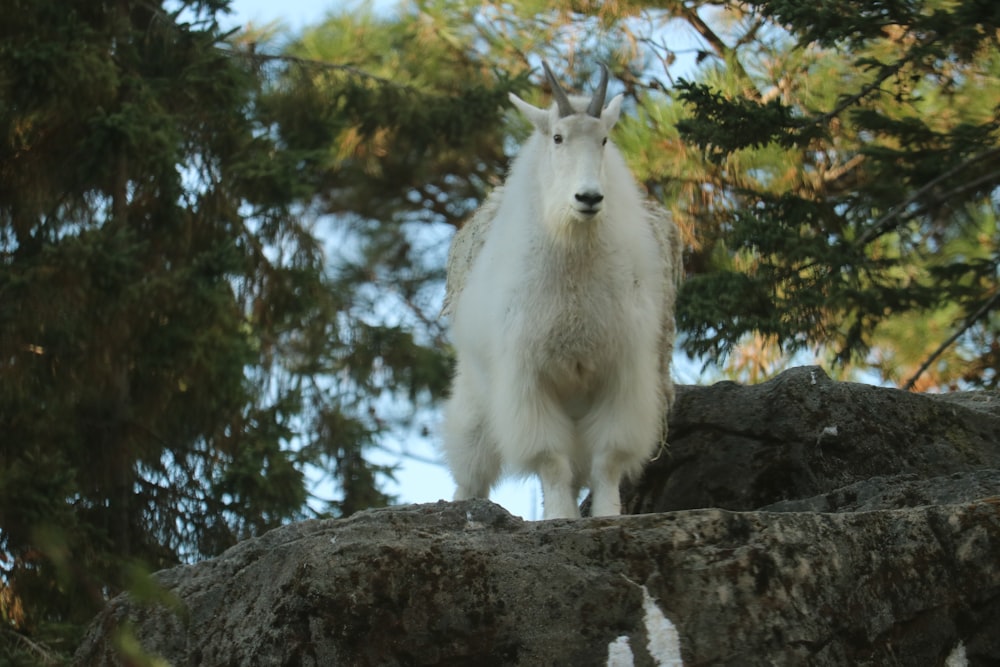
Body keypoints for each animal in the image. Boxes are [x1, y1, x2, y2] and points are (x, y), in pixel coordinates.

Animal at [442, 61, 684, 520]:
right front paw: (559, 518)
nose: (588, 198)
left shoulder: (621, 373)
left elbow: (607, 457)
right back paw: (460, 504)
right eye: (557, 138)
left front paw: (606, 514)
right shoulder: (528, 378)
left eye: (604, 139)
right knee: (472, 464)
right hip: (476, 393)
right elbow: (550, 458)